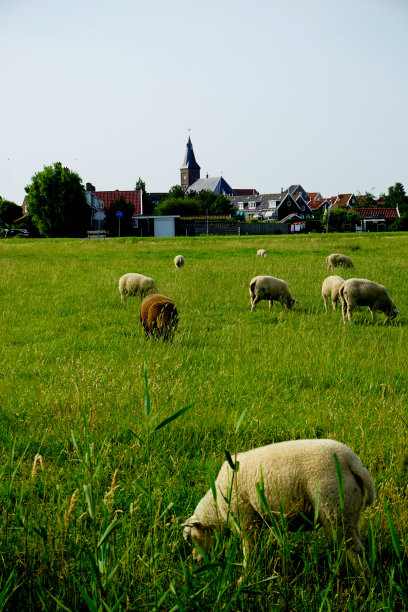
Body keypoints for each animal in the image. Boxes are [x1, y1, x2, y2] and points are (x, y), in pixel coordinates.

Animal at [183, 438, 374, 576]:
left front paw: (245, 575)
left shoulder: (244, 517)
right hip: (348, 513)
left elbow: (249, 548)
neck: (216, 507)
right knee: (346, 544)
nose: (194, 561)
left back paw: (363, 580)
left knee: (354, 549)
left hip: (334, 506)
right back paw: (340, 571)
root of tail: (353, 462)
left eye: (189, 538)